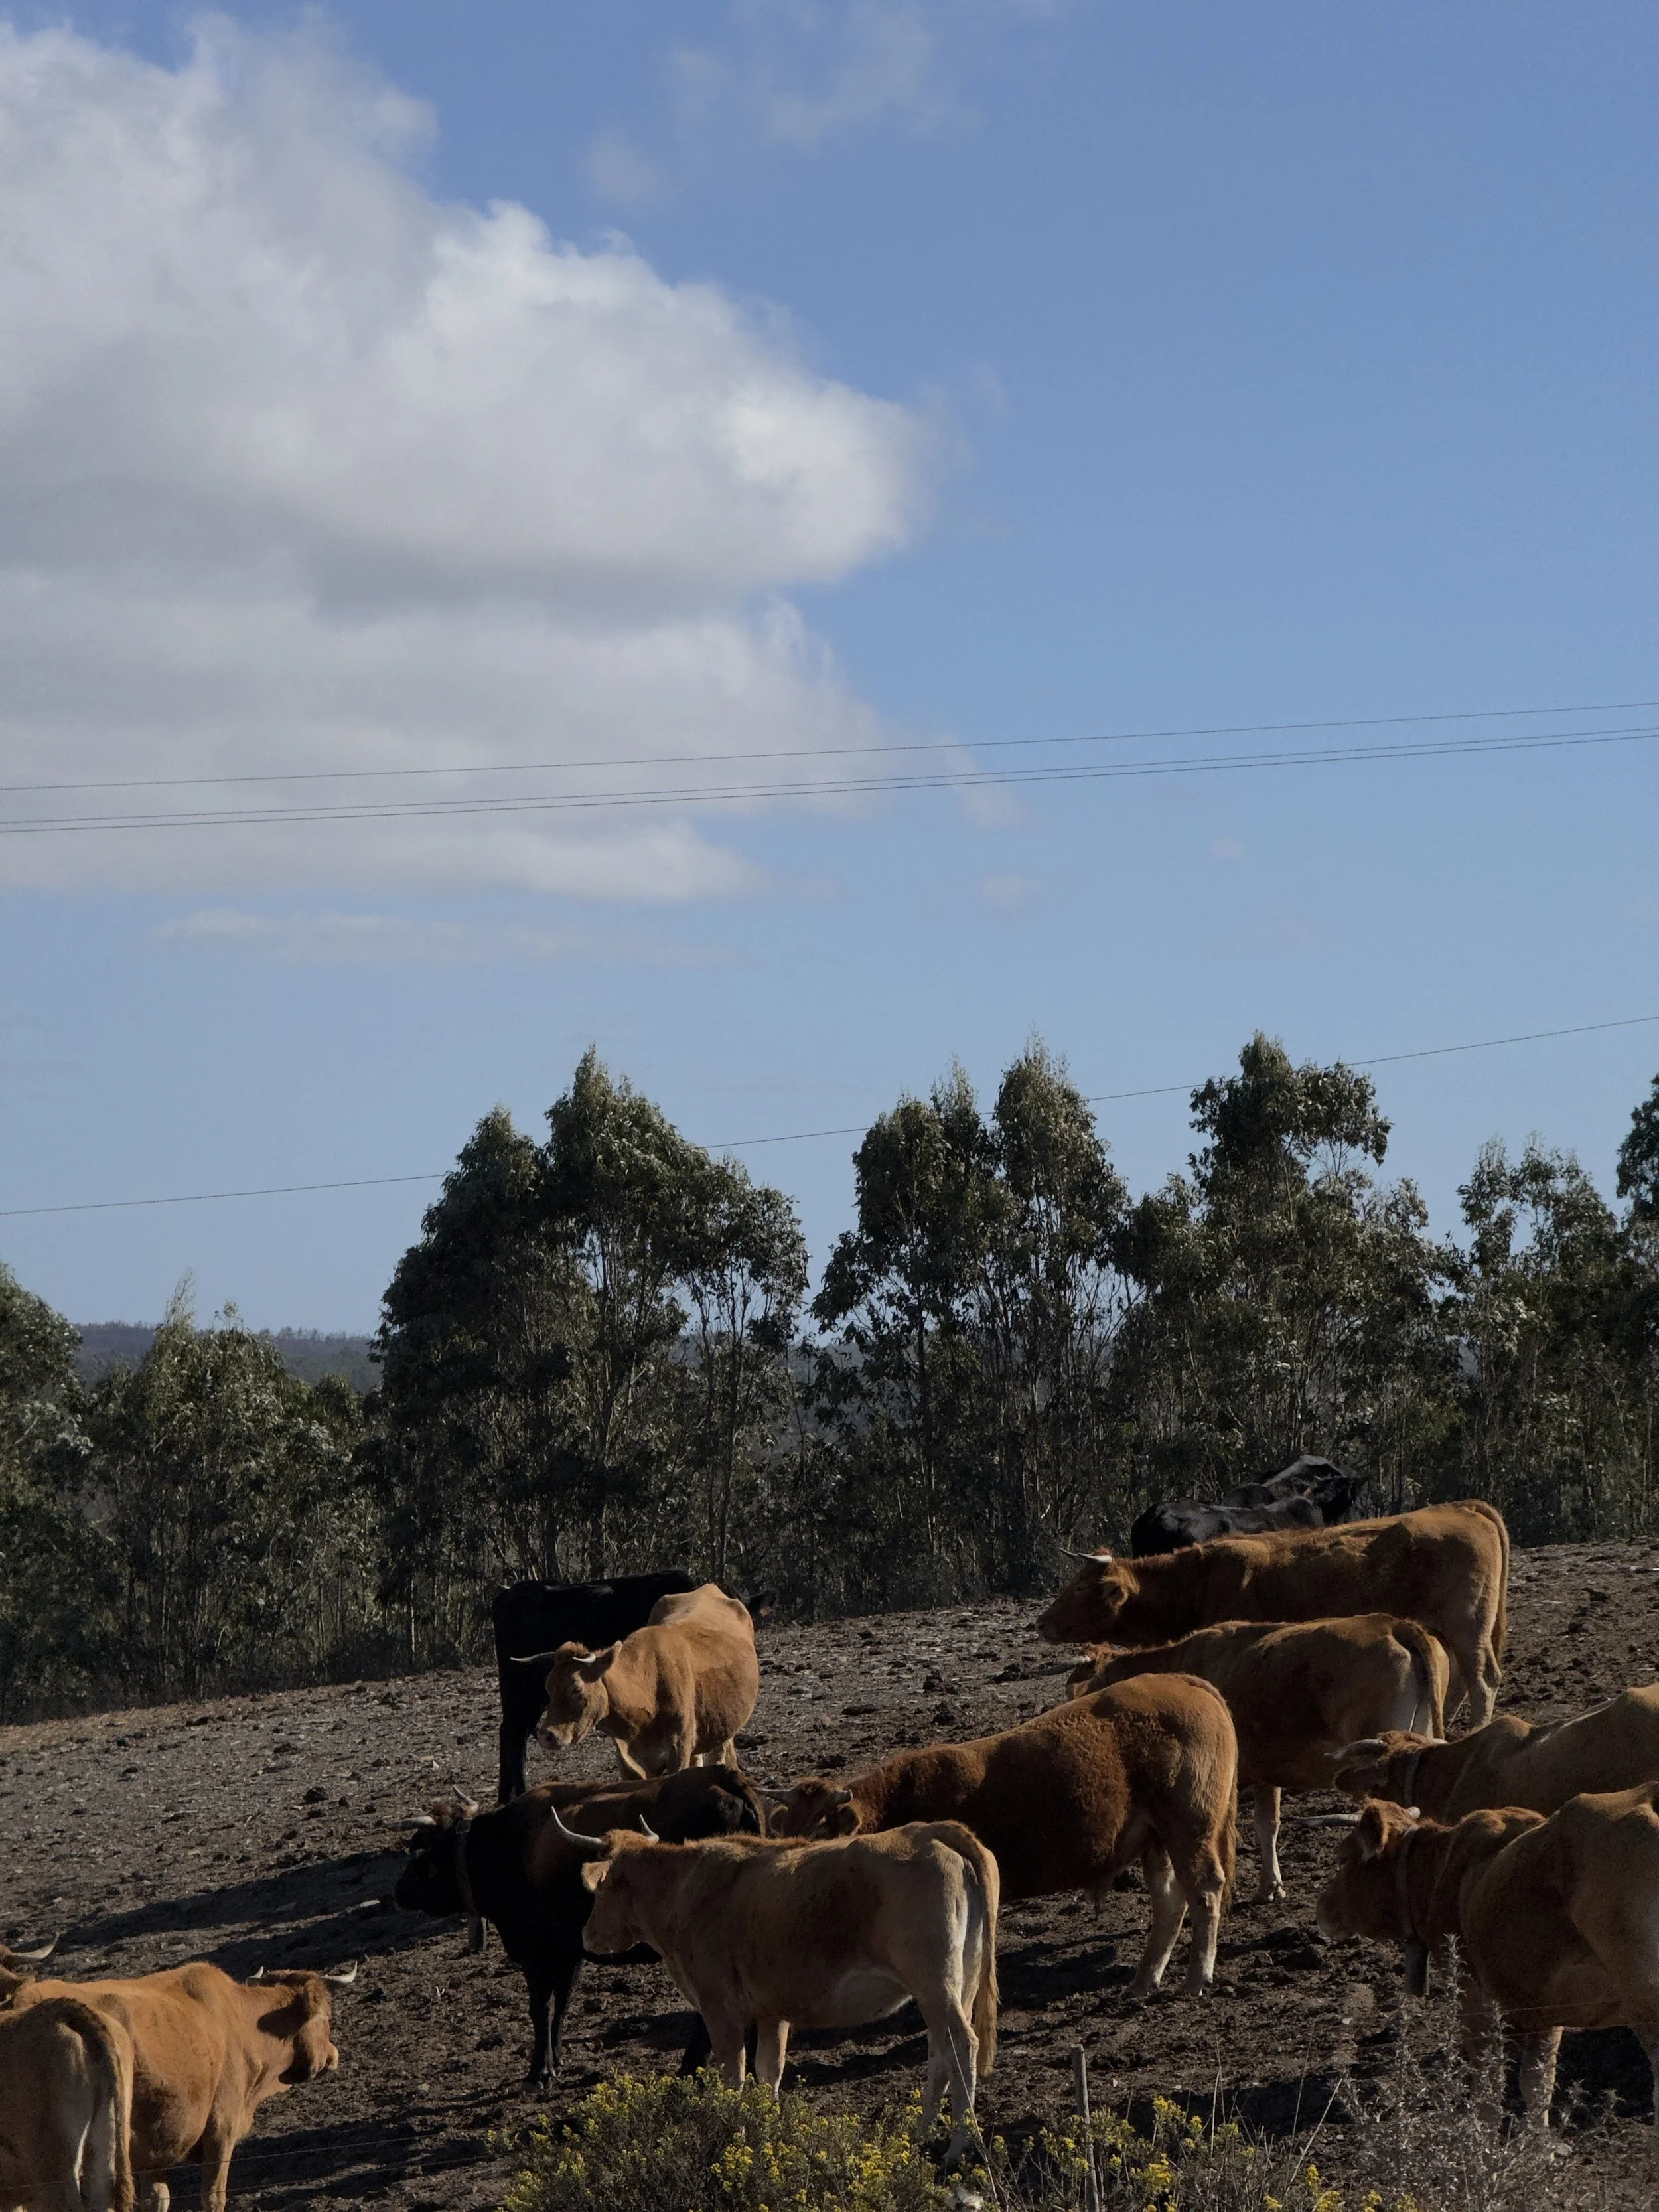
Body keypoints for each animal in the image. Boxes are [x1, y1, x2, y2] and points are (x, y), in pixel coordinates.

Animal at [392, 1765, 765, 2084]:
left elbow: (540, 2008)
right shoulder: (569, 1953)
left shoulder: (535, 1954)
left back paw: (693, 2067)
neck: (499, 1846)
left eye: (418, 1849)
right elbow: (562, 2005)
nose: (398, 1892)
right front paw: (556, 2061)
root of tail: (724, 1778)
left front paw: (539, 2071)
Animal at [564, 1814, 999, 2165]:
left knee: (962, 2045)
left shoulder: (718, 2008)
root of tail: (930, 1831)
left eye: (598, 1892)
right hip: (954, 1983)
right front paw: (764, 2136)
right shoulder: (772, 2012)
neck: (684, 1889)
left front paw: (734, 2137)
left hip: (935, 1983)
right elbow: (768, 2073)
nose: (586, 1936)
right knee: (940, 2054)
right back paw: (921, 2136)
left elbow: (735, 2076)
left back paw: (959, 2148)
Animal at [769, 1674, 1237, 1996]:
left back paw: (1197, 1978)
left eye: (819, 1830)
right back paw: (1143, 1981)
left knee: (1204, 1890)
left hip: (1189, 1829)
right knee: (1170, 1902)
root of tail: (1186, 1682)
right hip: (1157, 1841)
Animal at [1037, 1501, 1509, 1727]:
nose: (1041, 1623)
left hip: (1468, 1627)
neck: (1198, 1579)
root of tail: (1464, 1508)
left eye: (1081, 1587)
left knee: (1483, 1680)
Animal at [1315, 1786, 1659, 2123]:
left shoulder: (1473, 1999)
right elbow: (1538, 2085)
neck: (1440, 1871)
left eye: (1343, 1859)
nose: (1321, 1909)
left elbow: (1487, 2089)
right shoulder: (1545, 2007)